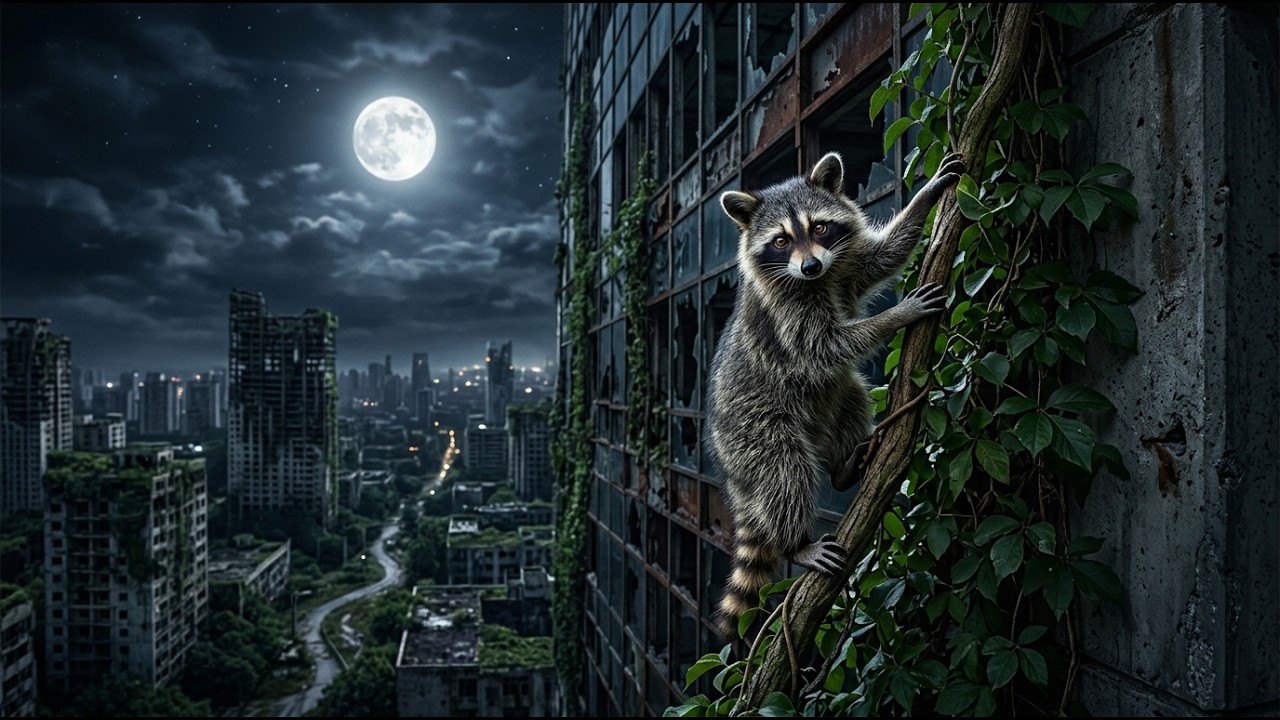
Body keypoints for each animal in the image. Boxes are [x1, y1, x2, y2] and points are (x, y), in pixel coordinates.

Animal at [706, 150, 964, 641]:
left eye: (821, 228)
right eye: (781, 241)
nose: (810, 267)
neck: (815, 280)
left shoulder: (840, 266)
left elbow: (880, 258)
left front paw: (924, 198)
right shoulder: (787, 310)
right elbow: (824, 346)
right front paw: (895, 317)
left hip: (832, 402)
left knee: (853, 395)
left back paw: (844, 467)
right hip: (753, 429)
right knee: (785, 471)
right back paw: (796, 543)